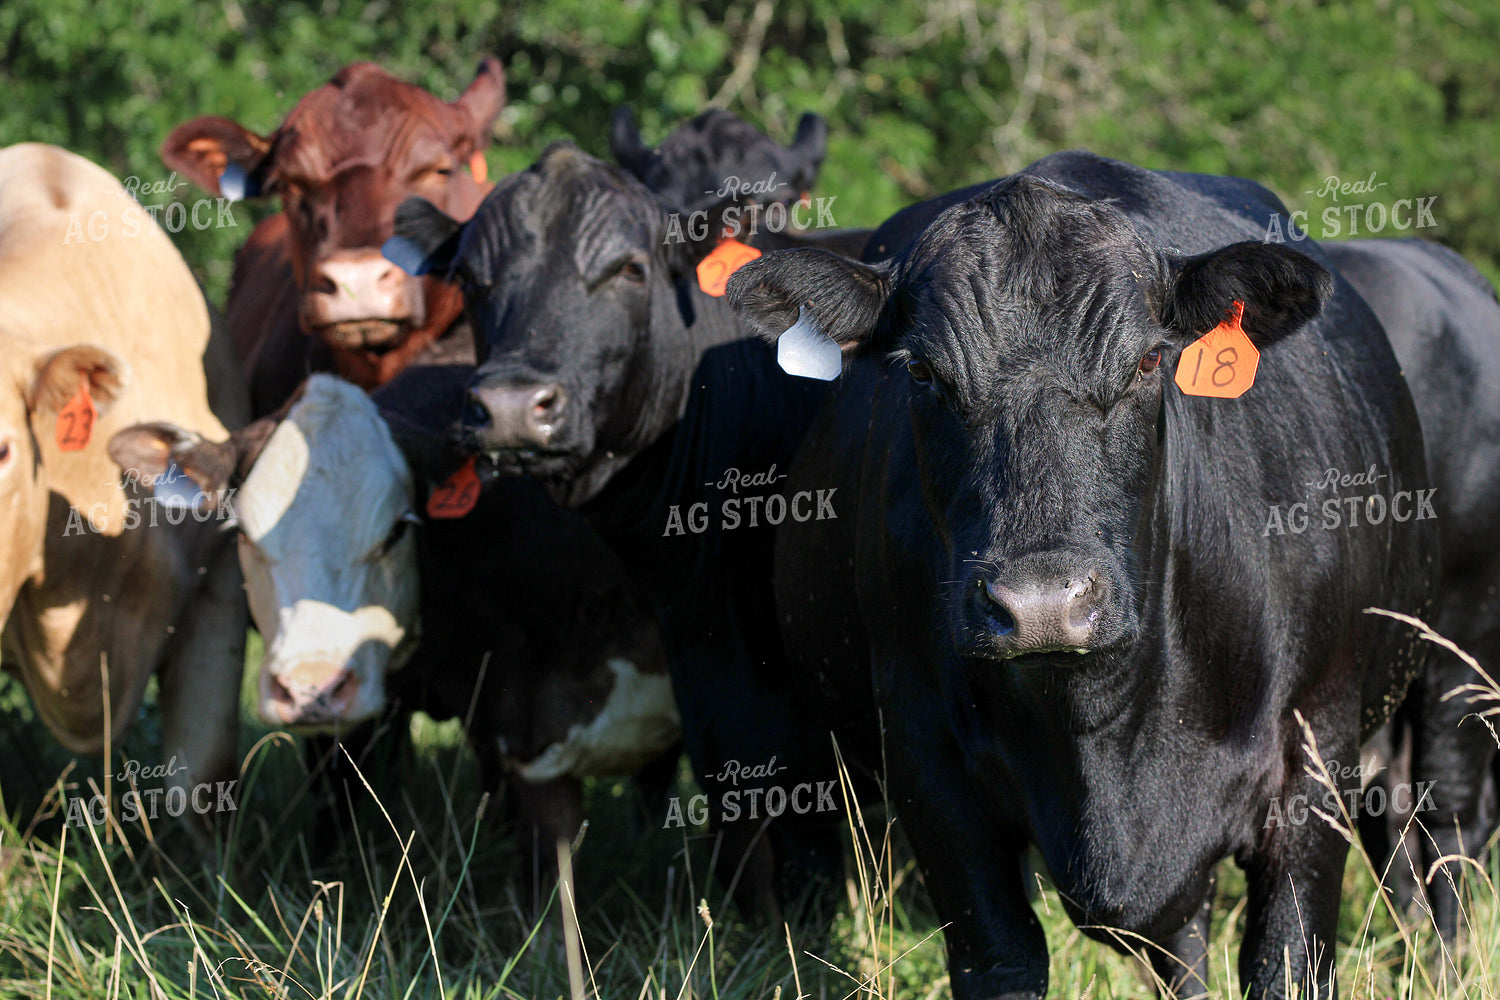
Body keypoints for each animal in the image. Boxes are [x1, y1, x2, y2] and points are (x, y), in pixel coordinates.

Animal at [724, 152, 1439, 999]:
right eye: (923, 374)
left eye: (1148, 360)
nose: (1041, 605)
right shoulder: (929, 767)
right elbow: (1001, 957)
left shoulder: (1315, 750)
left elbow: (1288, 960)